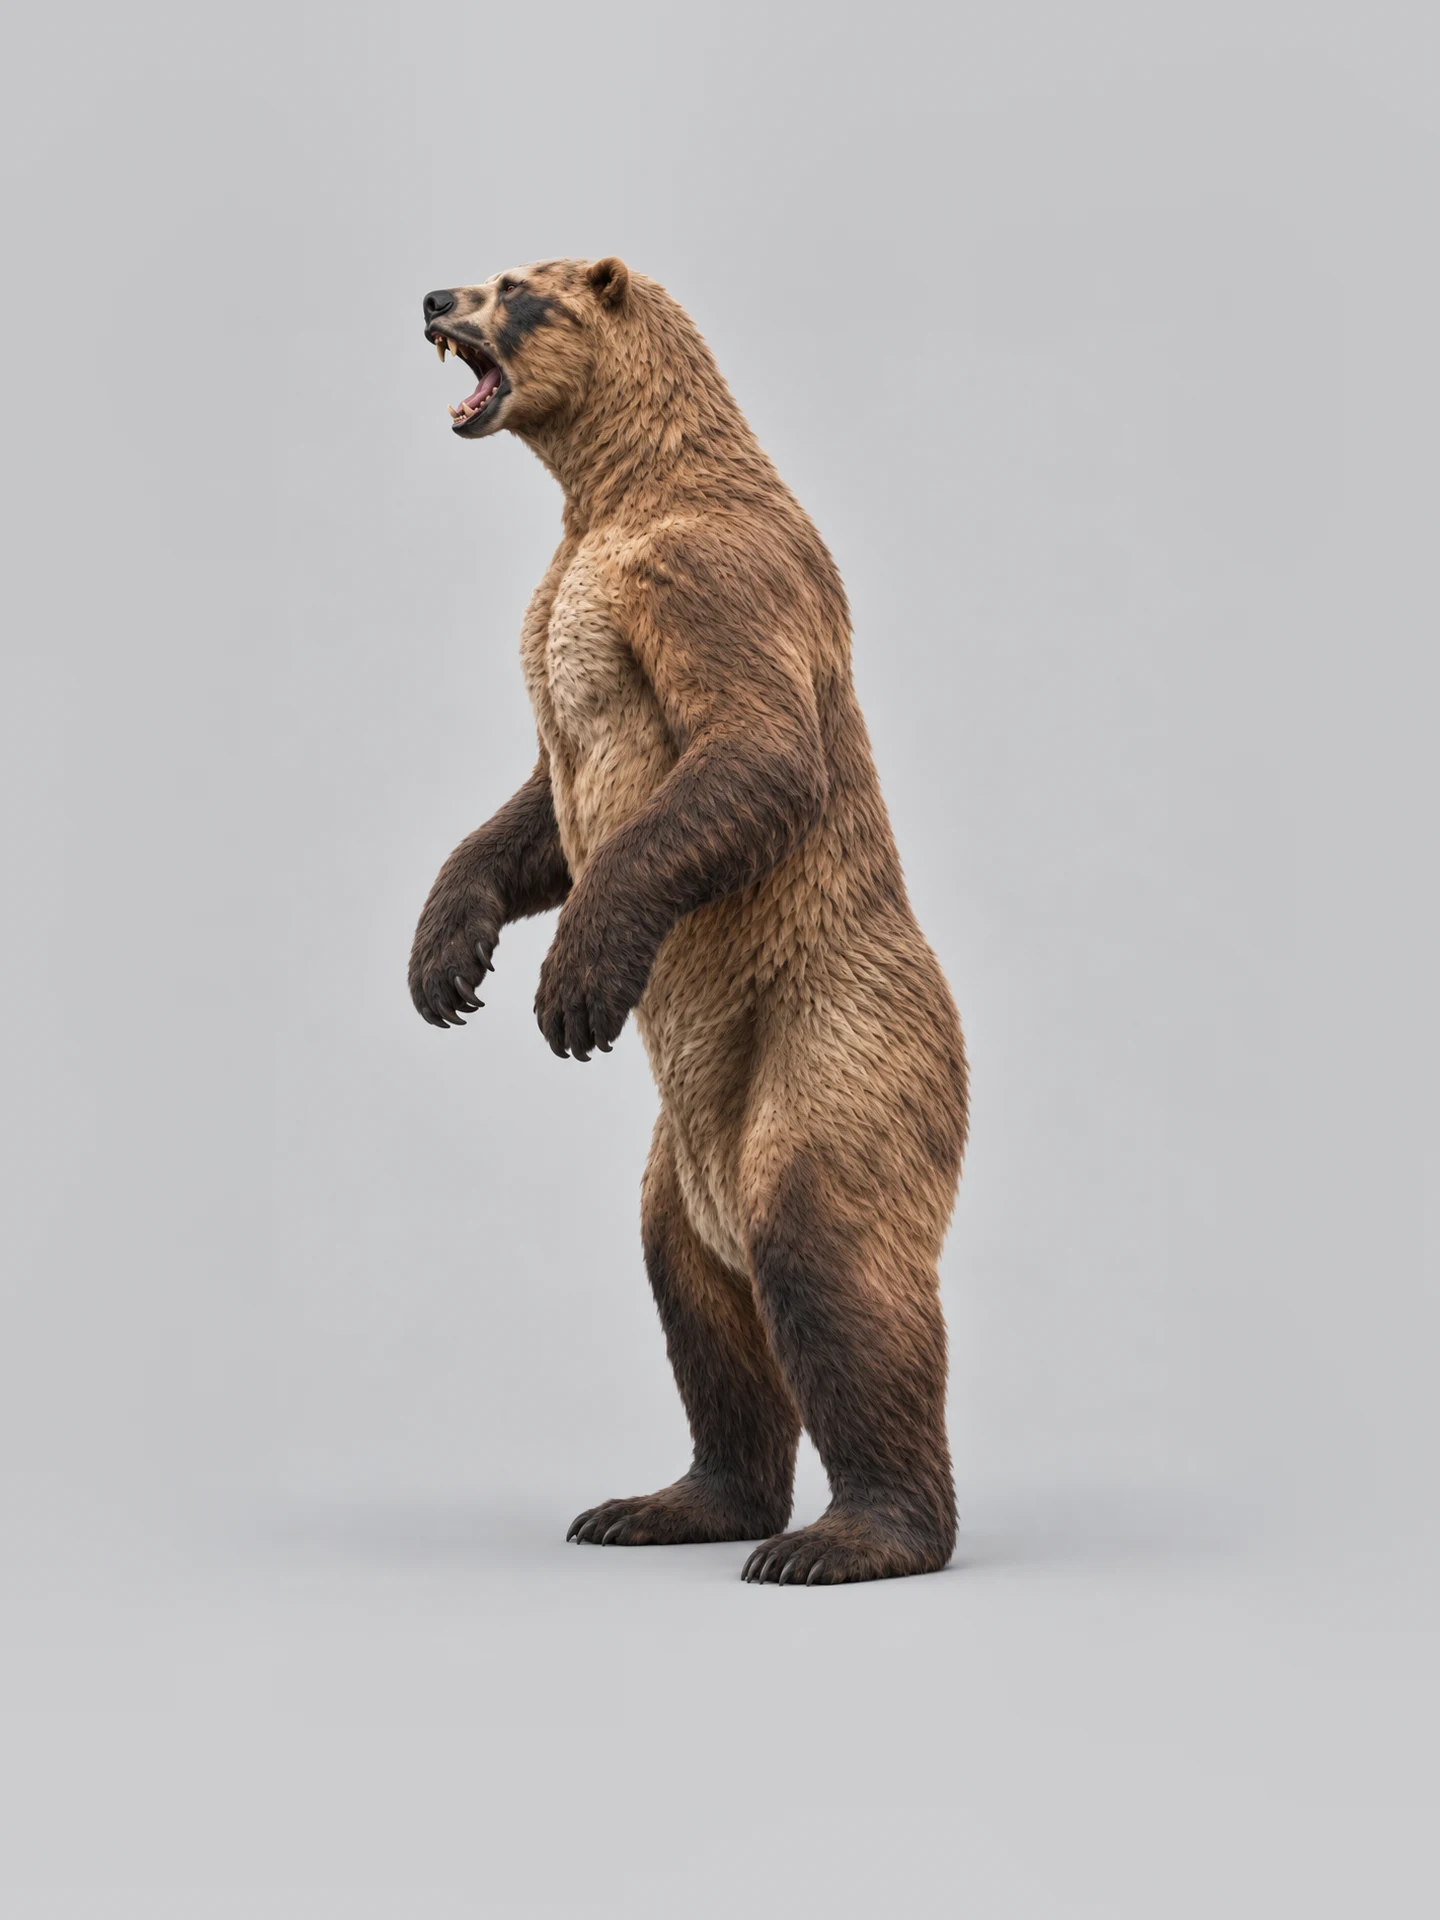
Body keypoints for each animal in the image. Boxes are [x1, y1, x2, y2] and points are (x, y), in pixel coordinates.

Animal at [409, 257, 968, 1584]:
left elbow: (755, 751)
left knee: (828, 1250)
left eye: (513, 285)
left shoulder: (707, 574)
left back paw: (851, 1534)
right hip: (679, 1155)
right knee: (693, 1296)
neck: (617, 491)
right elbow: (536, 816)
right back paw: (668, 1502)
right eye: (481, 275)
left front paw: (574, 982)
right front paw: (445, 956)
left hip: (838, 1032)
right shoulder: (571, 599)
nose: (431, 298)